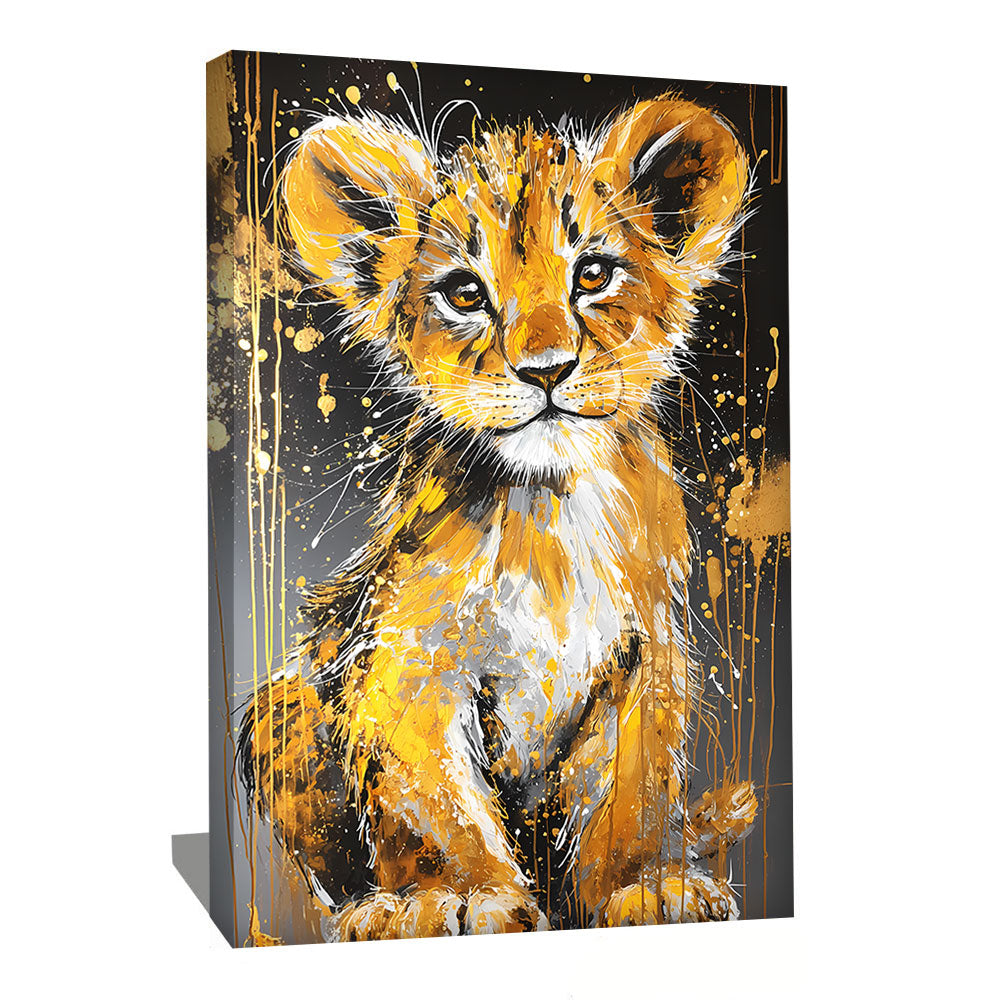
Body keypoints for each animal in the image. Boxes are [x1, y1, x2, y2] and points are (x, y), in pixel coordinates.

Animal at [239, 92, 758, 941]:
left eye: (593, 274)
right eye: (464, 292)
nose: (546, 370)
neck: (546, 514)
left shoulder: (647, 654)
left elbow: (634, 793)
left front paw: (646, 887)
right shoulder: (407, 662)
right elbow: (436, 805)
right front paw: (454, 898)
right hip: (277, 707)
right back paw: (373, 908)